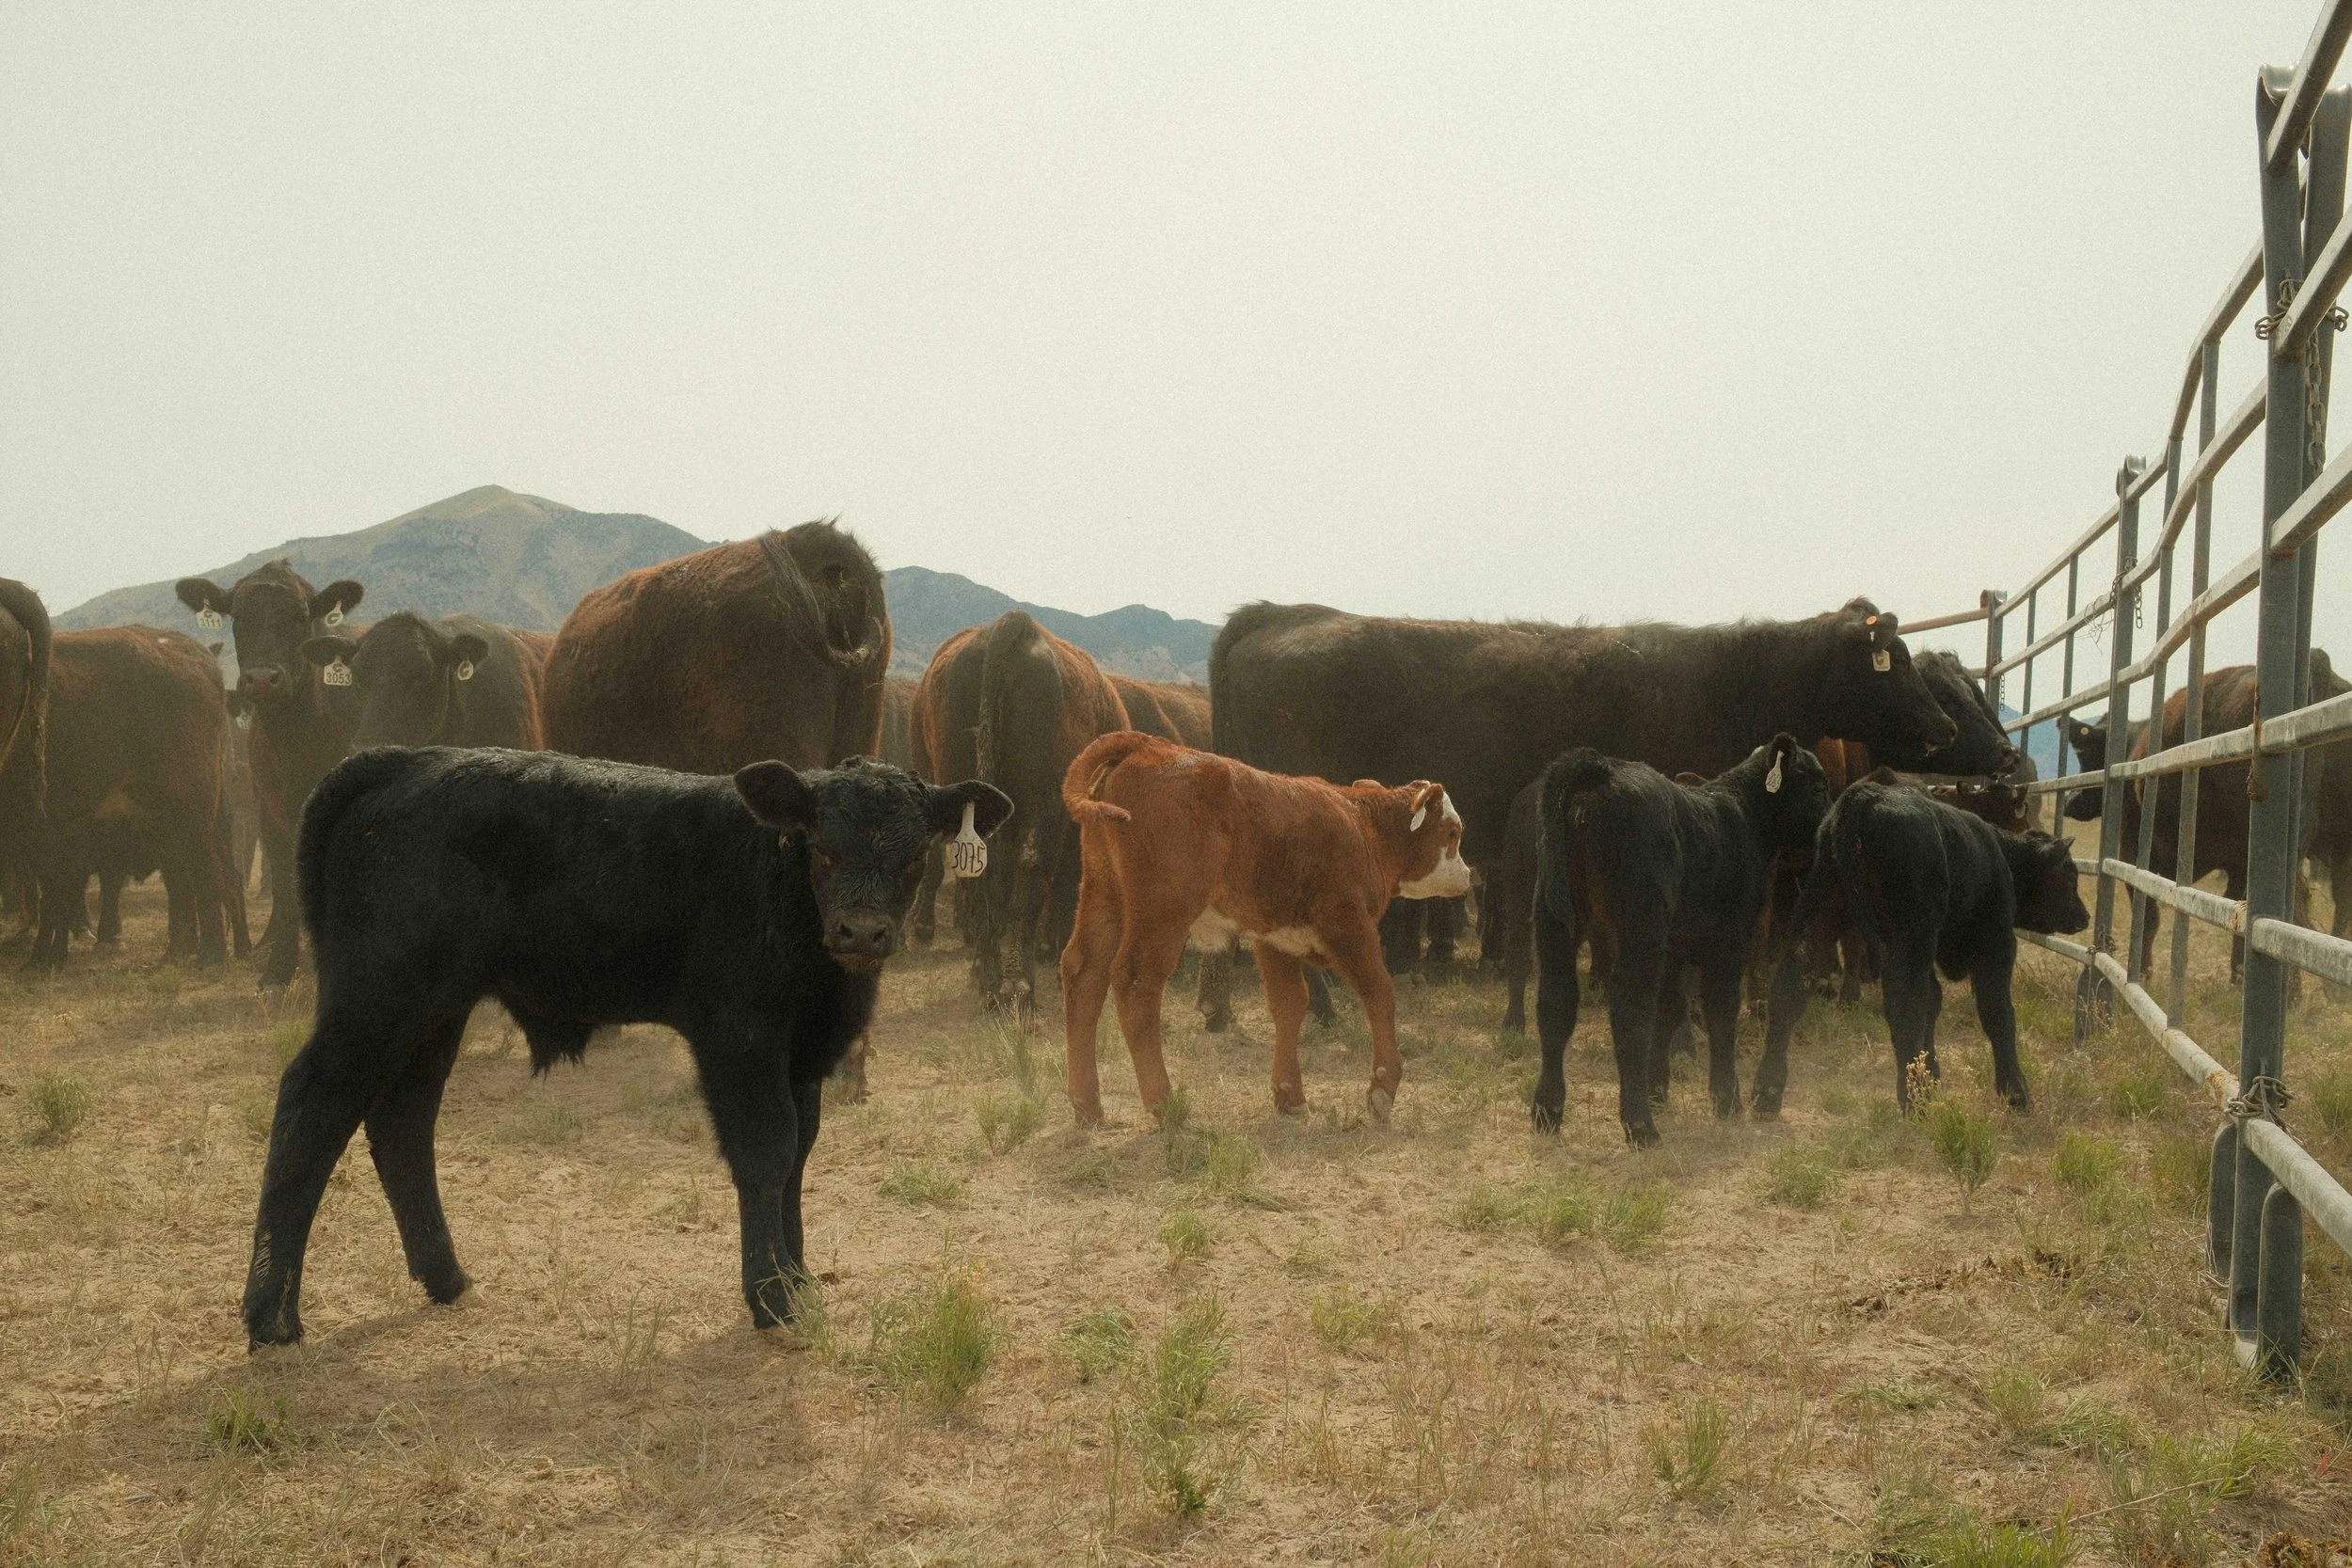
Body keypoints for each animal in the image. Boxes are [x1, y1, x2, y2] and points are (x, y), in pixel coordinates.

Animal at [175, 562, 365, 986]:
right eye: (238, 617)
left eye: (299, 616)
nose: (262, 679)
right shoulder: (271, 810)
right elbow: (283, 882)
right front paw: (278, 970)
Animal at [240, 748, 1011, 1348]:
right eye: (821, 844)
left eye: (914, 854)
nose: (861, 931)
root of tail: (401, 761)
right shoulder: (740, 1040)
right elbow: (766, 1152)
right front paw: (771, 1297)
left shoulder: (804, 1058)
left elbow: (799, 1156)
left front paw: (797, 1278)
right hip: (375, 1003)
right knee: (309, 1110)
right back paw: (271, 1318)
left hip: (434, 1014)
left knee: (402, 1122)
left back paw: (446, 1277)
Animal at [1059, 731, 1473, 1126]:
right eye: (1452, 833)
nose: (1468, 875)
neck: (1362, 826)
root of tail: (1146, 745)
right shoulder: (1348, 925)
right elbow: (1379, 993)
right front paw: (1382, 1090)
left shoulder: (1275, 937)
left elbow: (1290, 1004)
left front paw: (1290, 1097)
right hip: (1164, 910)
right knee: (1137, 983)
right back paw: (1165, 1104)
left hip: (1104, 893)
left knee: (1084, 973)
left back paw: (1087, 1106)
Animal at [1528, 736, 1830, 1146]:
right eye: (1817, 786)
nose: (1831, 821)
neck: (1742, 817)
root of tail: (1600, 768)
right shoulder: (1728, 940)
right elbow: (1721, 1011)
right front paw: (1727, 1101)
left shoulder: (1675, 947)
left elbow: (1670, 1011)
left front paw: (1659, 1091)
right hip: (1640, 926)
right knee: (1630, 1011)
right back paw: (1640, 1126)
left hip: (1554, 917)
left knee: (1555, 1003)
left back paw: (1547, 1112)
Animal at [1761, 781, 2088, 1115]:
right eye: (2070, 875)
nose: (2084, 916)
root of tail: (1866, 796)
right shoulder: (1995, 942)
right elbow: (1997, 1012)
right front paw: (2015, 1092)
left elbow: (1933, 1001)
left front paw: (1932, 1075)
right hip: (1910, 938)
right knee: (1903, 1005)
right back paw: (1914, 1101)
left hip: (1818, 916)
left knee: (1789, 987)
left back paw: (1767, 1093)